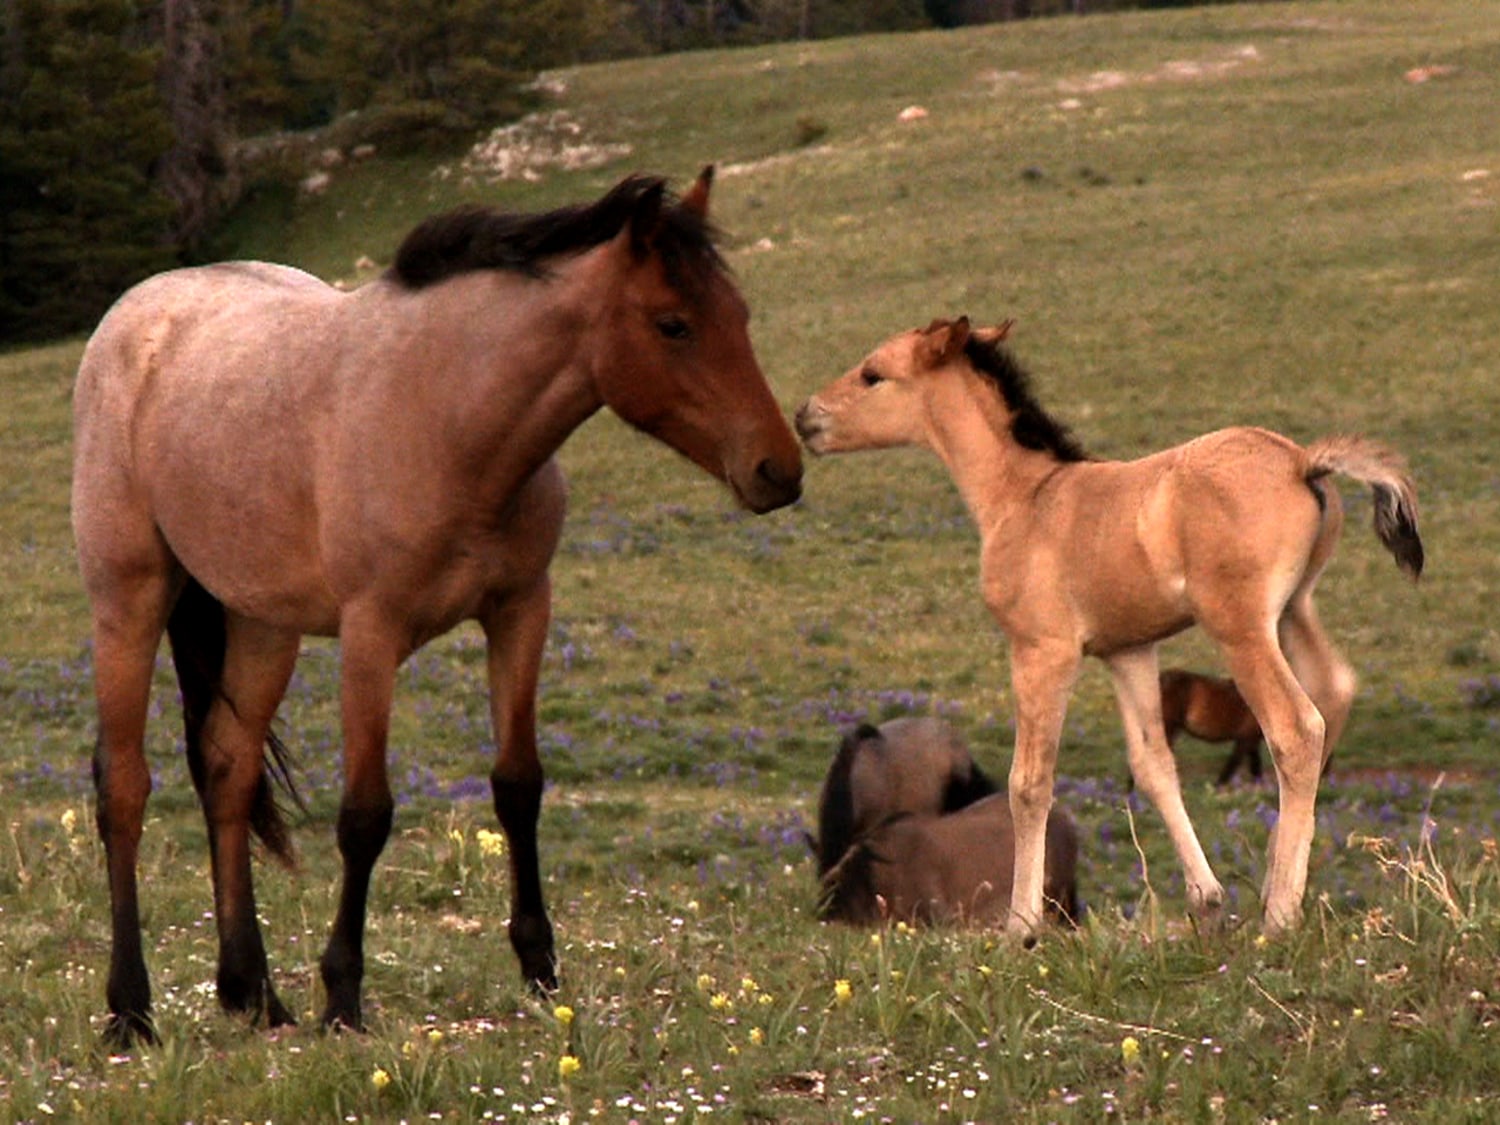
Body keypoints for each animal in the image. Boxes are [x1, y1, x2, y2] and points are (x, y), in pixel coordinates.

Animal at [69, 167, 804, 1050]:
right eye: (674, 323)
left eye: (742, 315)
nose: (779, 469)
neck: (446, 415)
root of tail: (135, 315)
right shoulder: (371, 633)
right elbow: (365, 814)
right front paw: (343, 995)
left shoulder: (521, 609)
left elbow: (518, 784)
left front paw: (540, 969)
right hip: (130, 597)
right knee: (124, 786)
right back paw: (130, 1008)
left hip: (261, 623)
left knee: (227, 768)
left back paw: (256, 993)